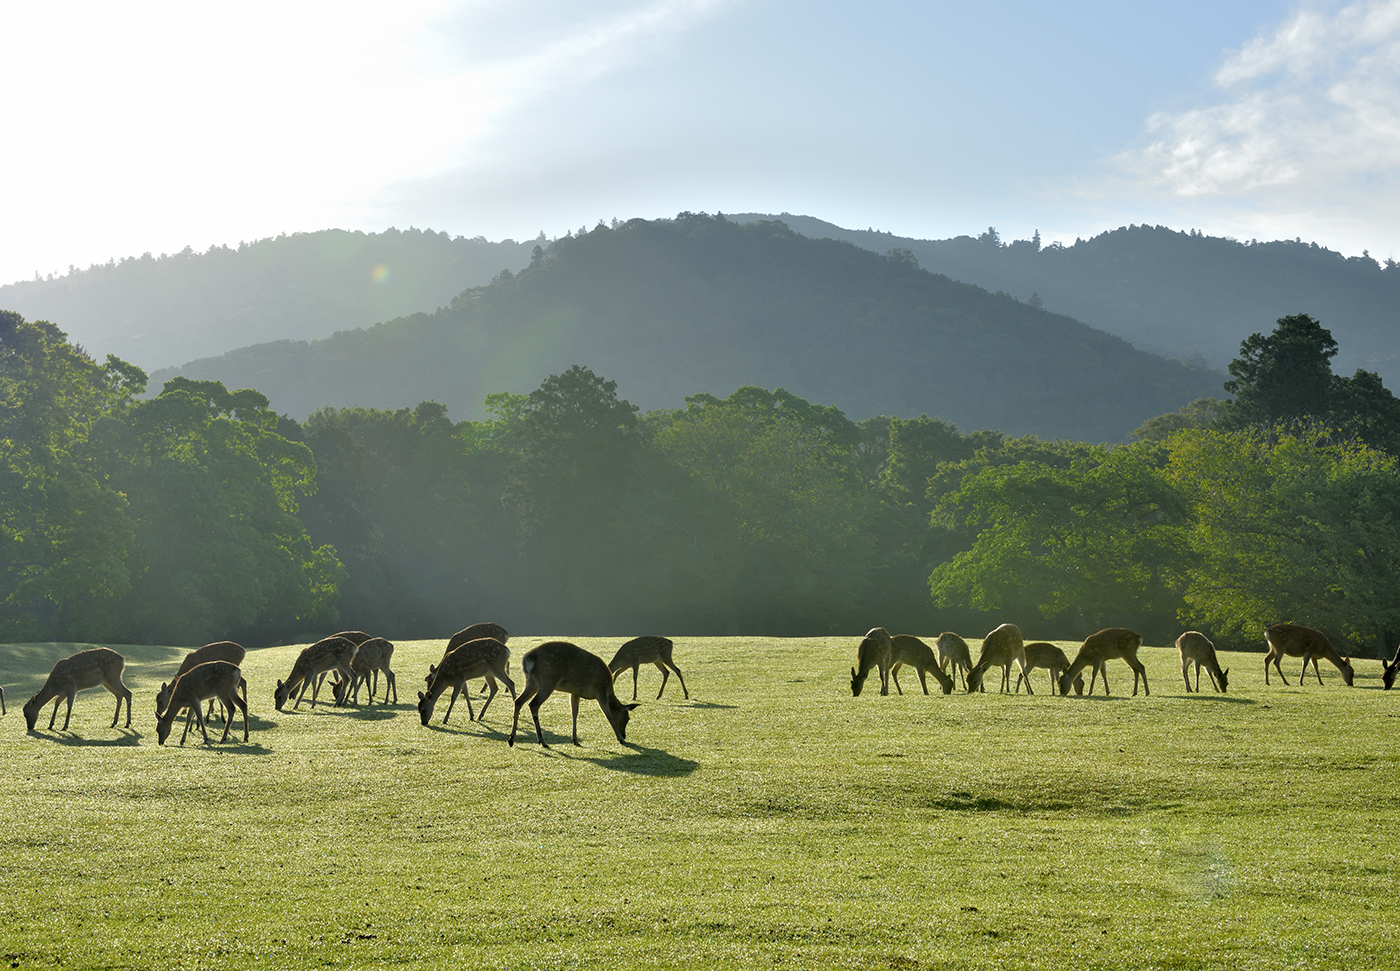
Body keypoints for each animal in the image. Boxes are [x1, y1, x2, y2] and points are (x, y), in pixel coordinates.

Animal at [509, 643, 641, 749]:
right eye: (627, 718)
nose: (624, 734)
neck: (609, 690)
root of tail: (527, 660)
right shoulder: (601, 691)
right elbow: (608, 715)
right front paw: (620, 739)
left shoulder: (575, 692)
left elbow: (574, 713)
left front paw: (575, 740)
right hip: (547, 680)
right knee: (533, 704)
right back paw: (542, 741)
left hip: (531, 682)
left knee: (518, 701)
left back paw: (511, 739)